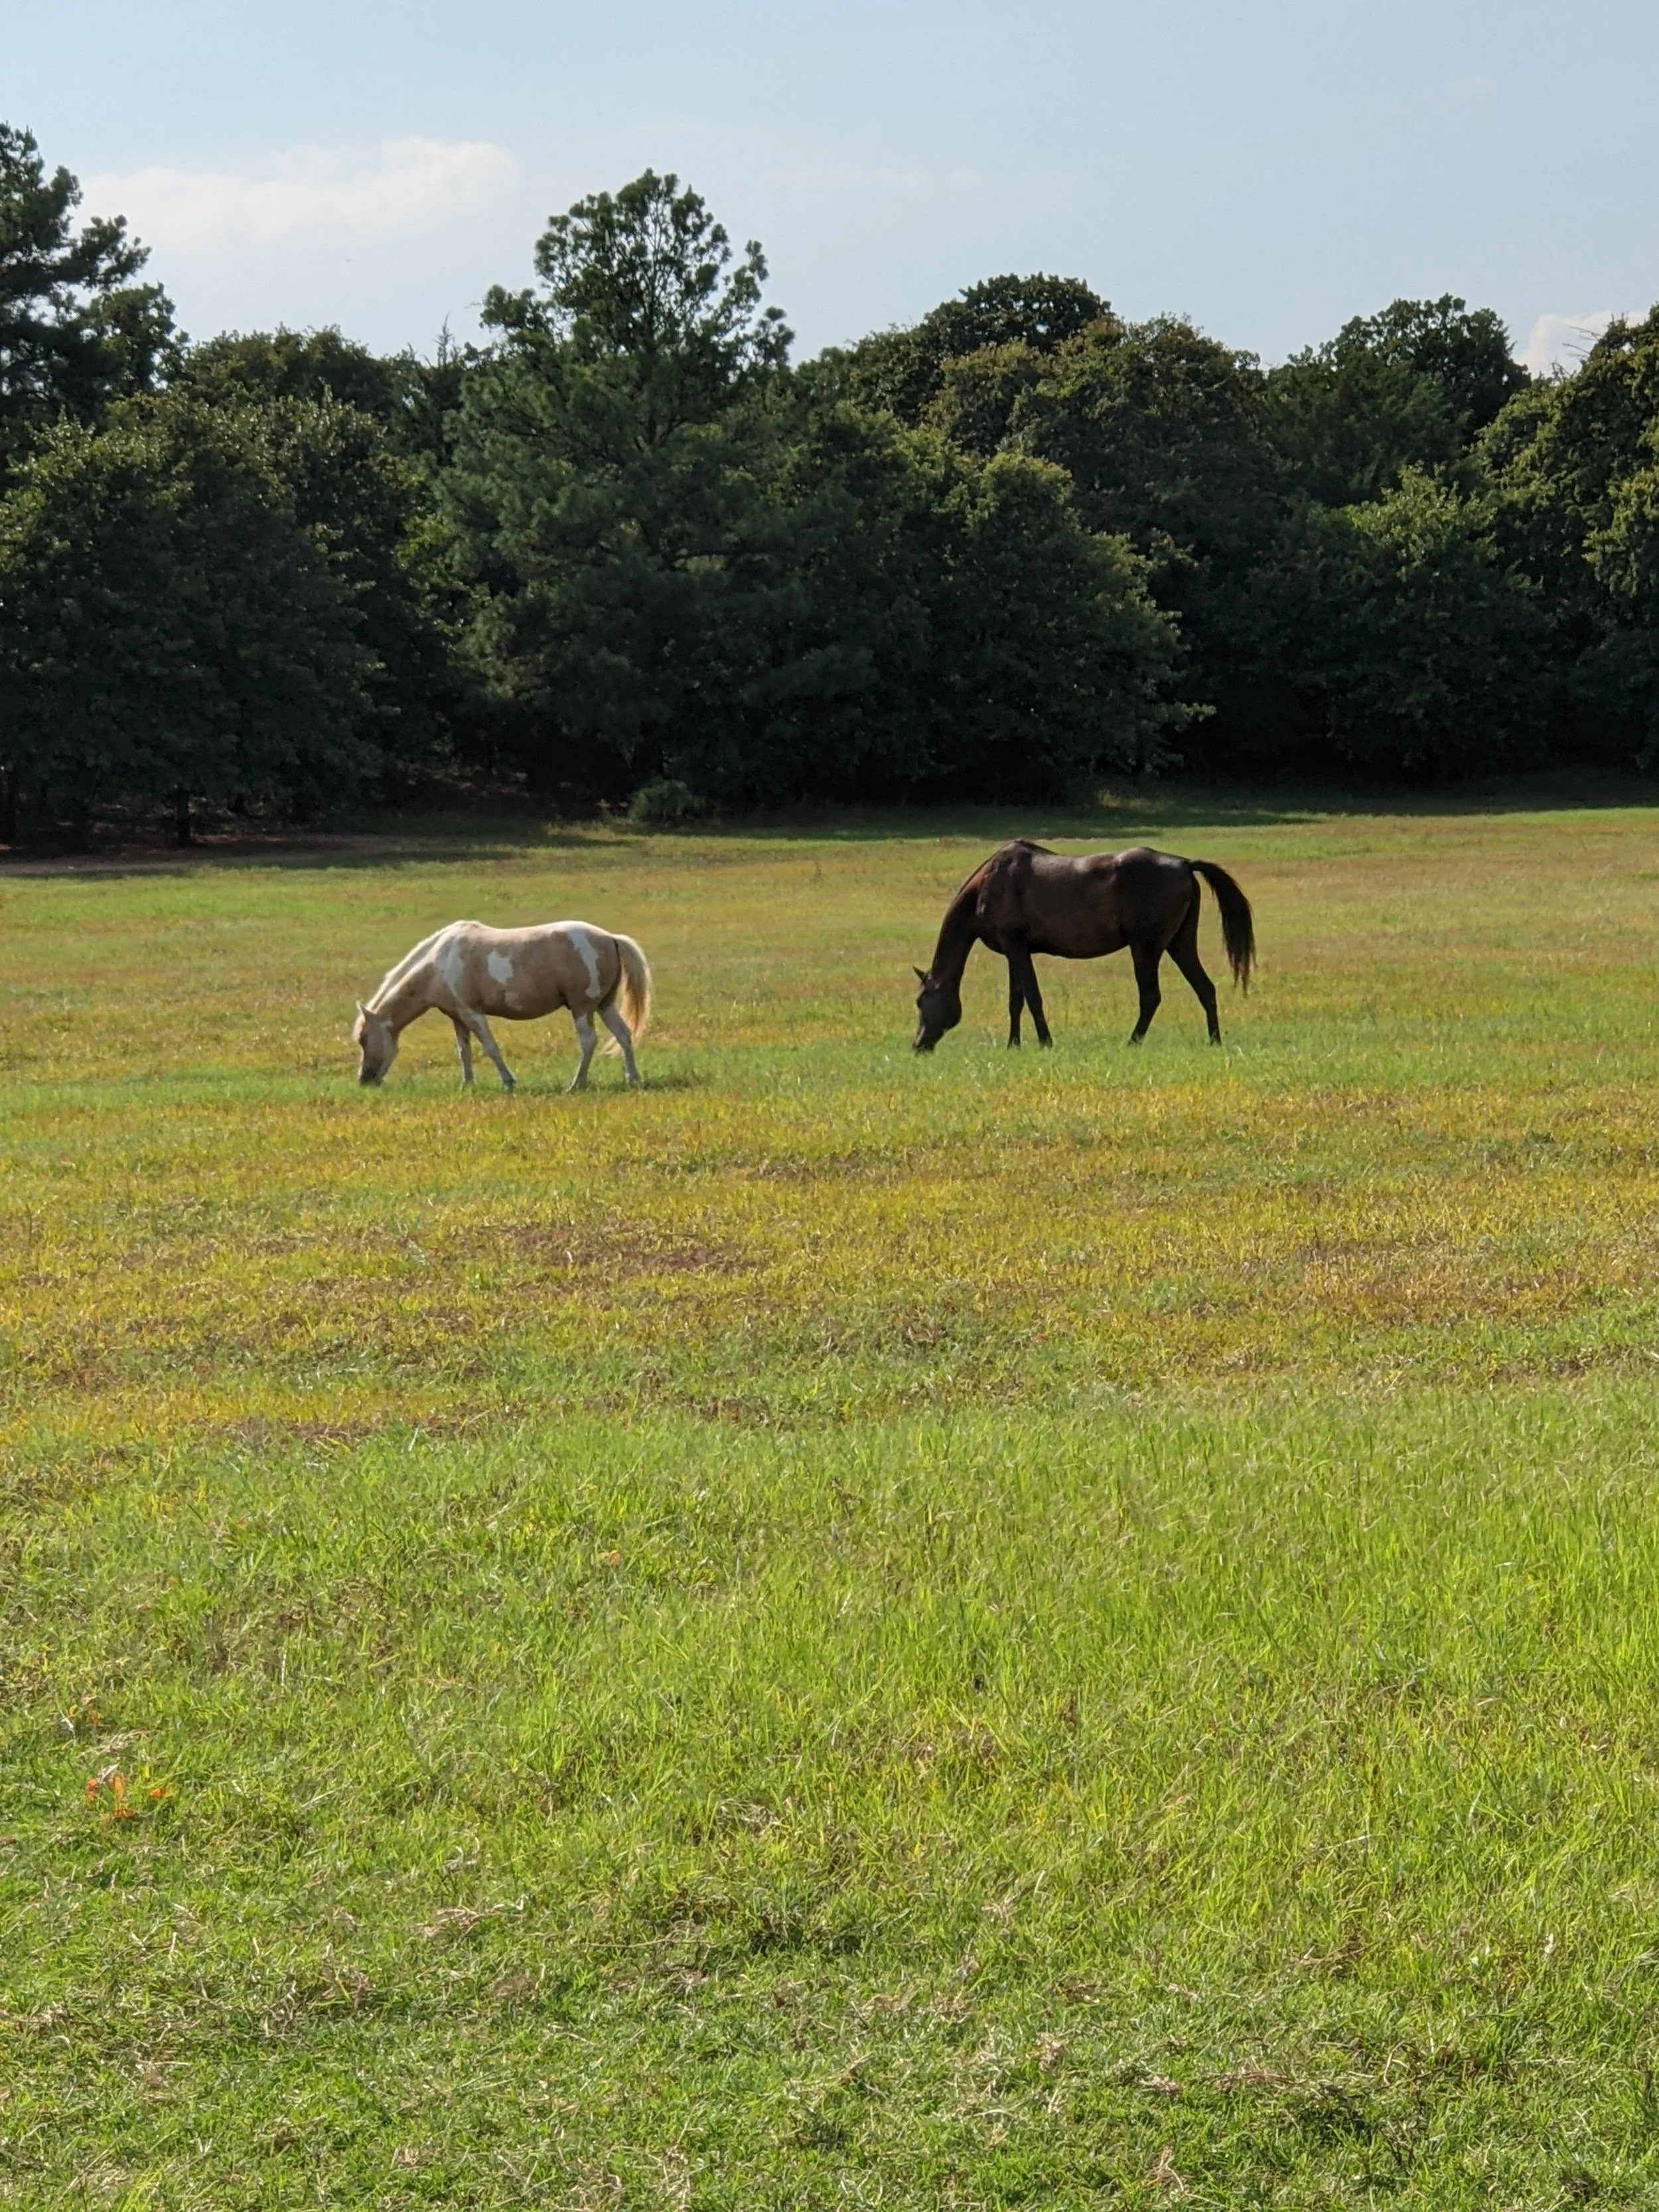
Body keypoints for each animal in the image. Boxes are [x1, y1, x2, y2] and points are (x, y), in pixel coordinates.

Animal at [352, 919, 651, 1091]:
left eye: (363, 1039)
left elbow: (490, 1047)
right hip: (604, 1005)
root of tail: (610, 938)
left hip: (582, 1008)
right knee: (624, 1035)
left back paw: (576, 1084)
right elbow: (464, 1051)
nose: (364, 1080)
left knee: (588, 1042)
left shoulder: (472, 1013)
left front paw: (508, 1081)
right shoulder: (457, 1017)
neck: (438, 963)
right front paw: (467, 1084)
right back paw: (633, 1078)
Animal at [912, 841, 1254, 1053]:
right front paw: (1013, 1044)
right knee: (1205, 988)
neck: (990, 883)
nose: (917, 1046)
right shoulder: (1015, 951)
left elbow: (1032, 998)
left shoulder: (1016, 946)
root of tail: (1184, 864)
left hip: (1146, 948)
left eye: (920, 1001)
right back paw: (1214, 1042)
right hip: (1179, 944)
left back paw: (1131, 1043)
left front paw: (1045, 1042)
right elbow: (1016, 1000)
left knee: (1151, 998)